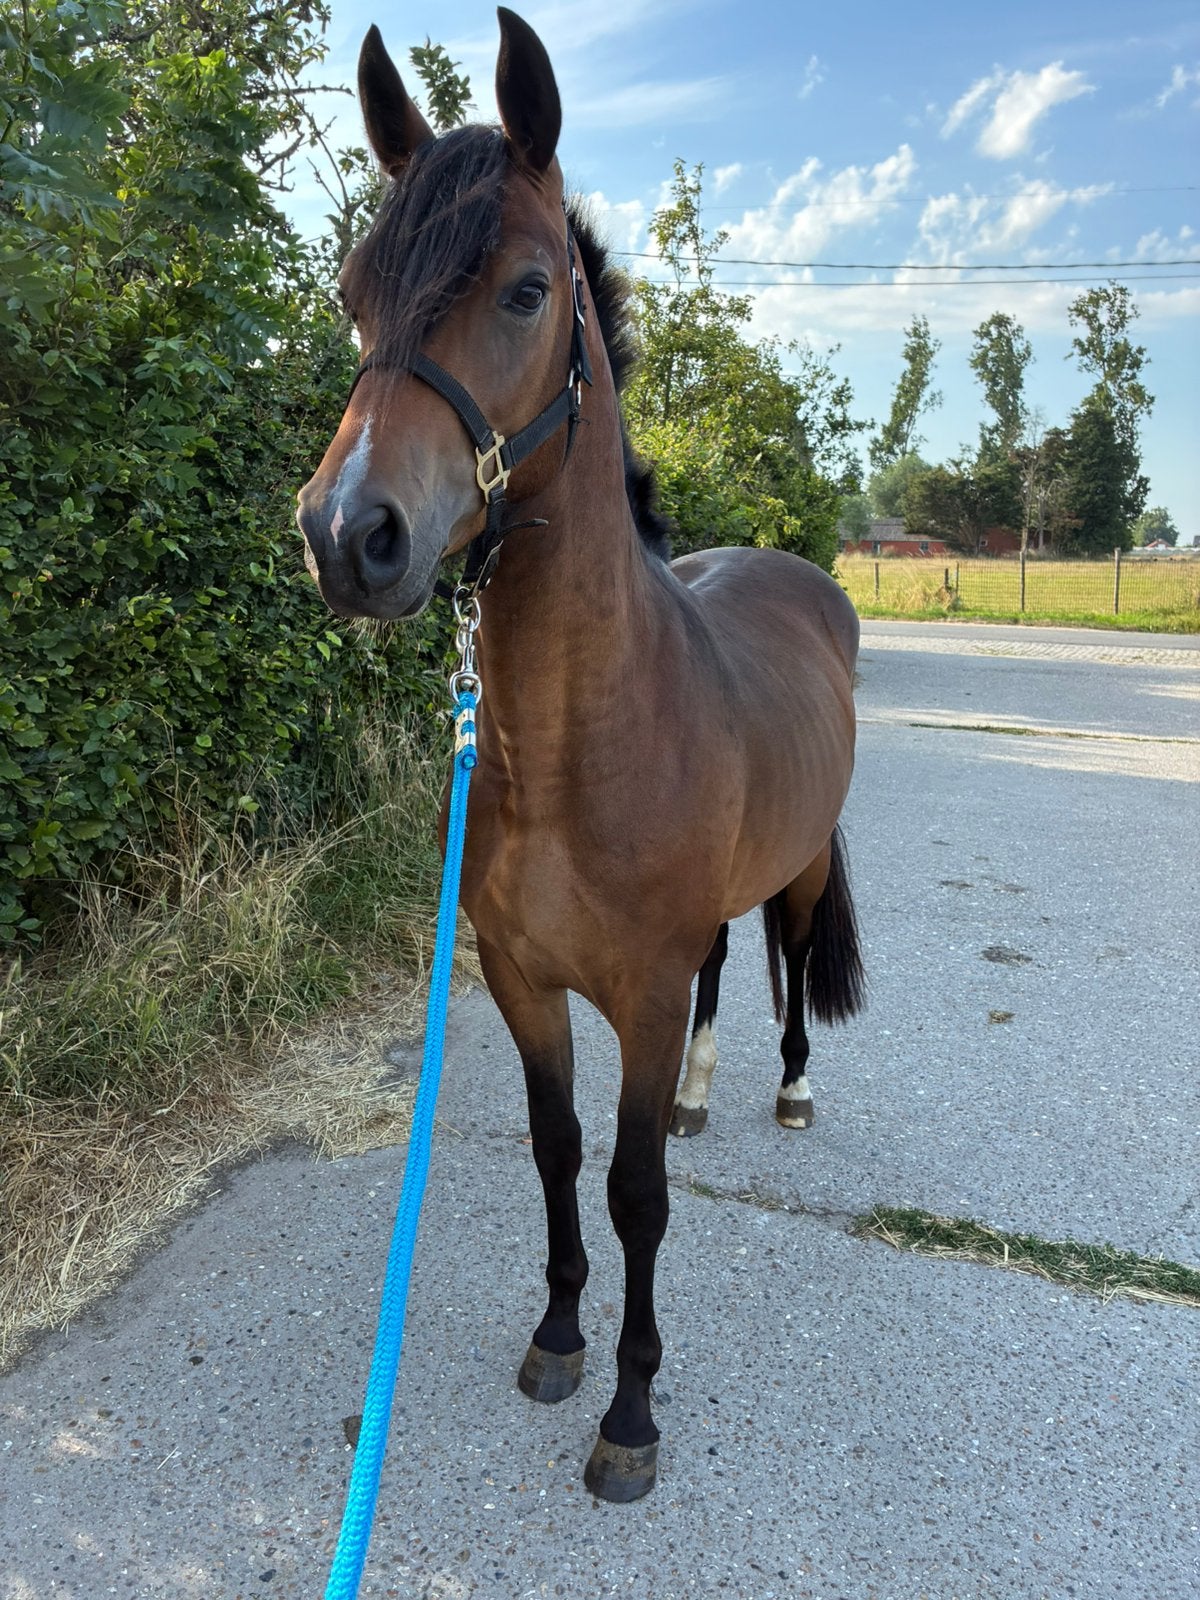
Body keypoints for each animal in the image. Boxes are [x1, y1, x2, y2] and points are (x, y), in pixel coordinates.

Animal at [296, 9, 864, 1503]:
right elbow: (557, 1154)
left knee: (787, 960)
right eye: (353, 291)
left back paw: (786, 1088)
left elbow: (632, 1192)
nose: (348, 534)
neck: (574, 748)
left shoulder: (643, 998)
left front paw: (631, 1412)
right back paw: (713, 1096)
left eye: (526, 288)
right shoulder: (520, 978)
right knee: (731, 969)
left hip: (795, 871)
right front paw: (557, 1337)